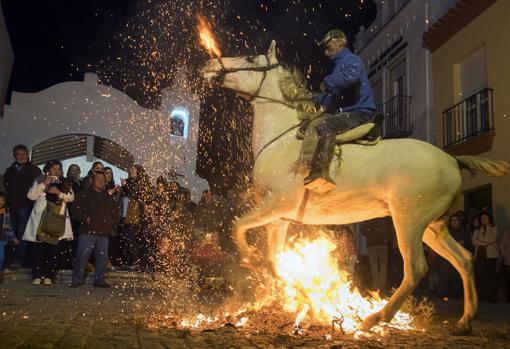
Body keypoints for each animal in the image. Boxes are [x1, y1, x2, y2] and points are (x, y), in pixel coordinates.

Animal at [201, 40, 508, 332]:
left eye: (250, 58)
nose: (210, 65)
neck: (282, 139)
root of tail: (452, 159)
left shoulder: (277, 204)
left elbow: (237, 226)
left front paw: (251, 260)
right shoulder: (279, 218)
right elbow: (273, 256)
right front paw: (283, 284)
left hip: (407, 223)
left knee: (416, 269)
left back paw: (376, 317)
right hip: (433, 227)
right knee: (464, 260)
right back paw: (465, 320)